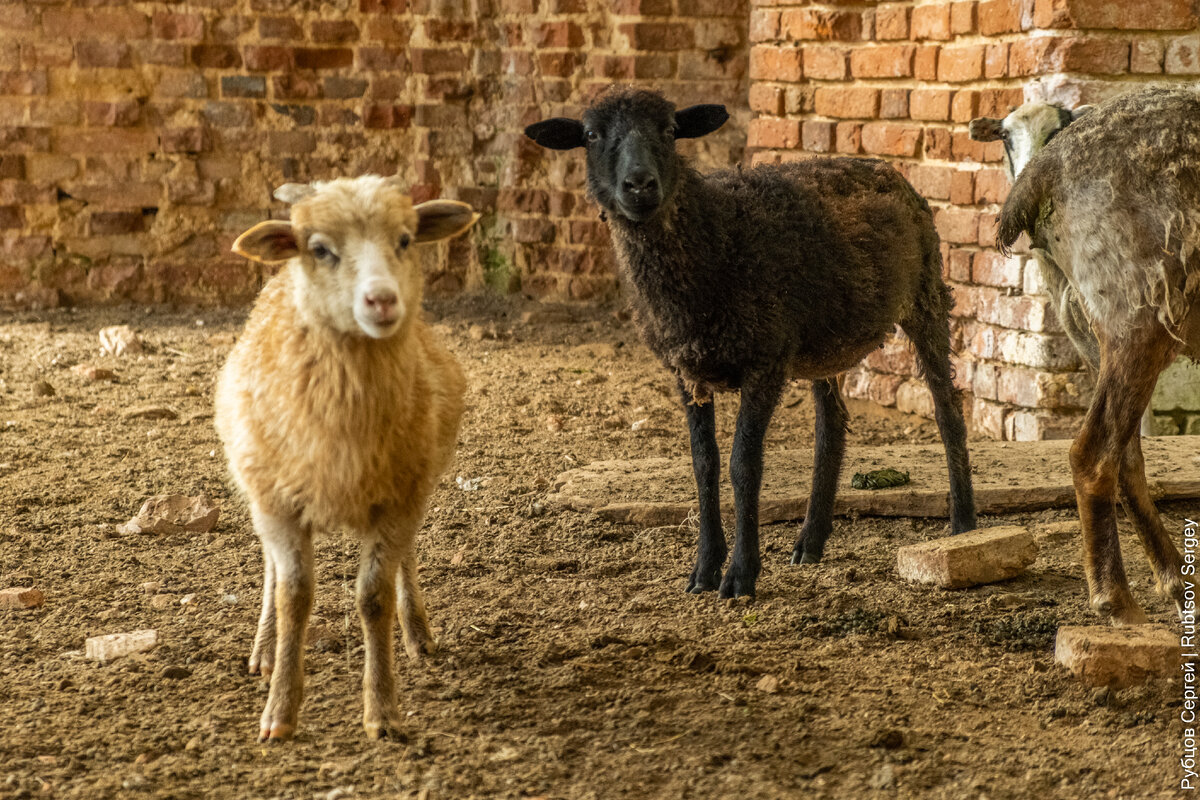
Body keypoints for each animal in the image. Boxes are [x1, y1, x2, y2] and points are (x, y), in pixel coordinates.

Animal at [216, 173, 477, 738]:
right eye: (319, 249)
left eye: (405, 240)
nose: (381, 300)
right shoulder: (277, 503)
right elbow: (294, 596)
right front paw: (280, 712)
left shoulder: (400, 498)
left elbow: (373, 598)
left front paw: (383, 712)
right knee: (271, 570)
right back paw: (265, 649)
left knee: (406, 561)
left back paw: (417, 632)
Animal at [525, 89, 974, 599]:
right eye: (591, 135)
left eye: (669, 130)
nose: (639, 185)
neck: (713, 236)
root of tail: (883, 168)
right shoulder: (685, 371)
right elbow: (704, 464)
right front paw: (704, 568)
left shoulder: (766, 360)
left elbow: (744, 465)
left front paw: (740, 573)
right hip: (825, 343)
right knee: (832, 427)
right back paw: (810, 541)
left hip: (925, 294)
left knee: (947, 412)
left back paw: (963, 524)